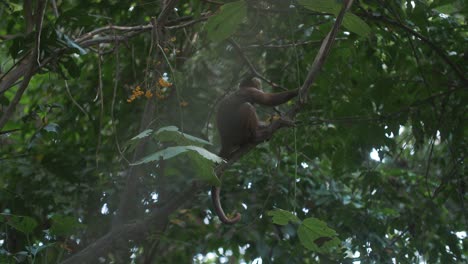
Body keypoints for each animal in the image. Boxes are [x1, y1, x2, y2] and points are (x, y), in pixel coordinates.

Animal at [212, 76, 296, 225]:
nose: (260, 86)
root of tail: (225, 142)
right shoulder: (251, 91)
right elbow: (269, 99)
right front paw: (297, 91)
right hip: (238, 134)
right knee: (247, 107)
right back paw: (256, 136)